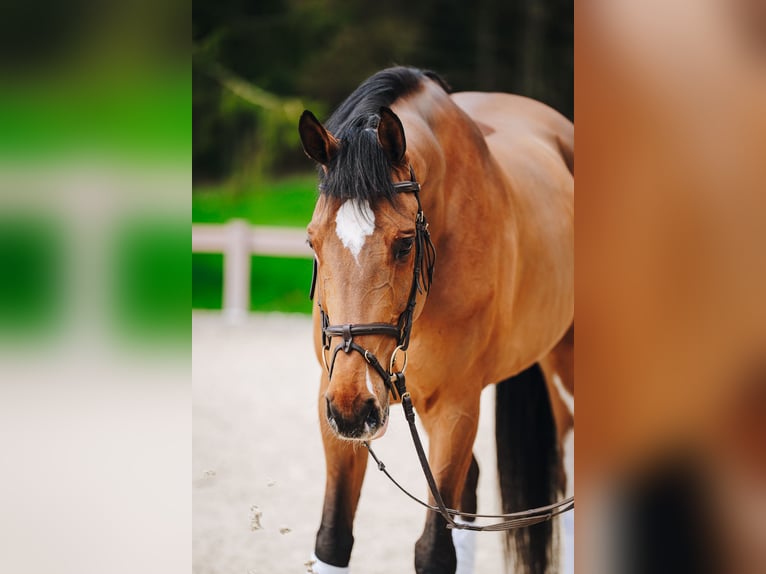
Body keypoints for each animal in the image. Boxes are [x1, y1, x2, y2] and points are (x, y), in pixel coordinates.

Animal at [298, 67, 574, 574]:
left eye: (405, 243)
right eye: (313, 241)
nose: (354, 407)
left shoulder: (456, 408)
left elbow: (433, 551)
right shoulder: (333, 403)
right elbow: (332, 539)